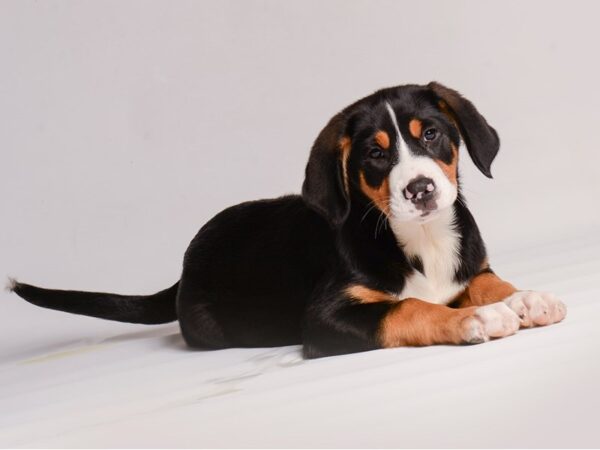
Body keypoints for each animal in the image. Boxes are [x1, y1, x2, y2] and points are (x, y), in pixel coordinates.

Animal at [9, 81, 568, 358]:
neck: (421, 237)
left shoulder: (469, 266)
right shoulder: (326, 317)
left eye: (430, 134)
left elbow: (487, 281)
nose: (420, 189)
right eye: (375, 155)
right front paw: (477, 319)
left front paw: (526, 298)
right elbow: (410, 308)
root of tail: (184, 268)